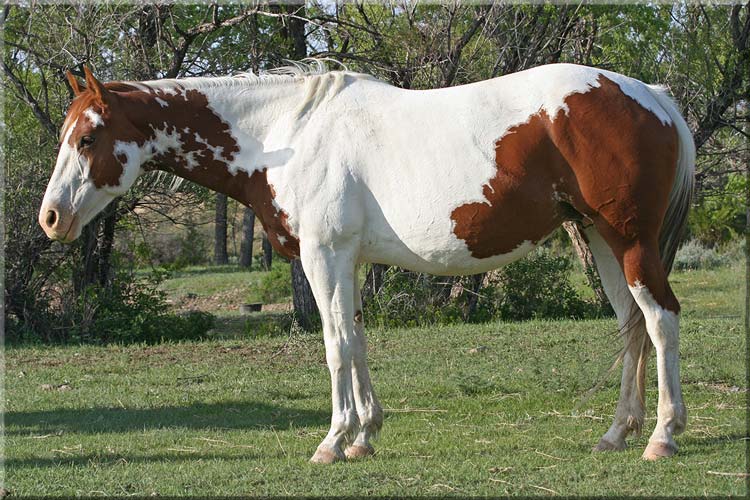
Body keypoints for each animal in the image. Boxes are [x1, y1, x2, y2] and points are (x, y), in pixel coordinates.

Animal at [38, 63, 696, 464]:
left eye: (88, 139)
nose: (50, 218)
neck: (287, 135)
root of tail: (653, 97)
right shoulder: (346, 260)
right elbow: (355, 339)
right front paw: (364, 435)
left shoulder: (324, 255)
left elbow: (335, 346)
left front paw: (332, 441)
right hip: (602, 240)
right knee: (632, 325)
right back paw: (617, 432)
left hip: (628, 240)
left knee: (661, 319)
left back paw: (662, 436)